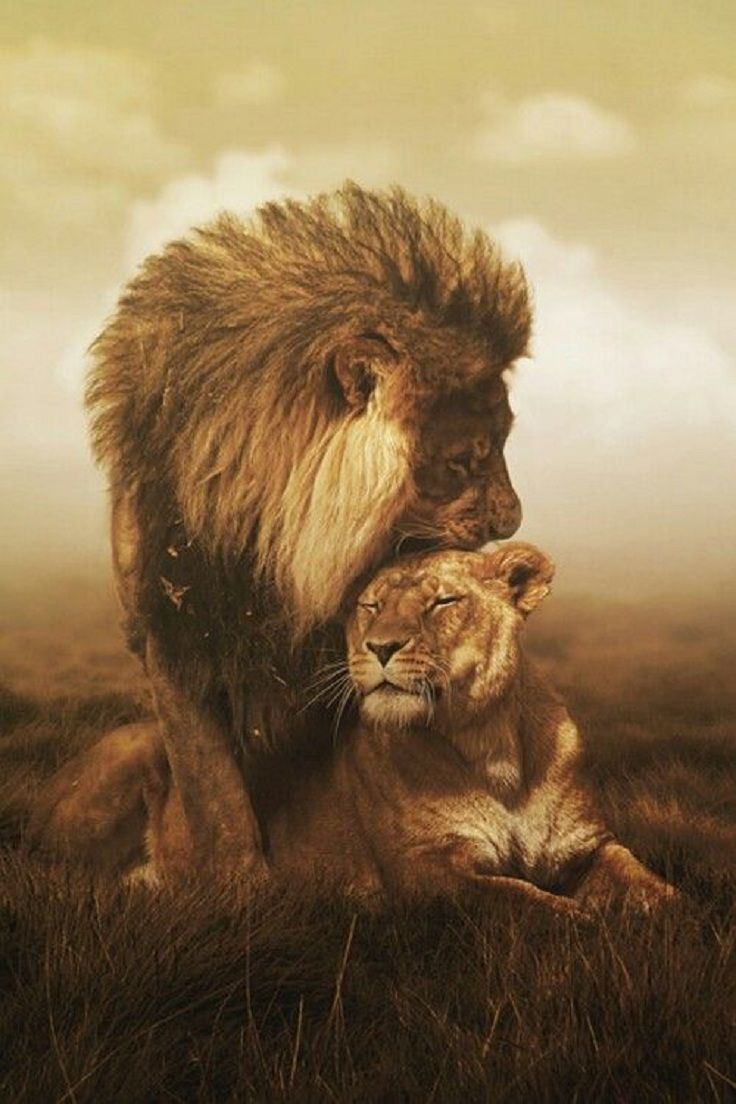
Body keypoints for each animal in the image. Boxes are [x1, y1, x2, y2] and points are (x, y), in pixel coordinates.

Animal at [83, 183, 532, 879]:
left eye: (501, 445)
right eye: (463, 461)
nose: (513, 520)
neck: (258, 530)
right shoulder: (168, 635)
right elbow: (211, 785)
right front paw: (240, 883)